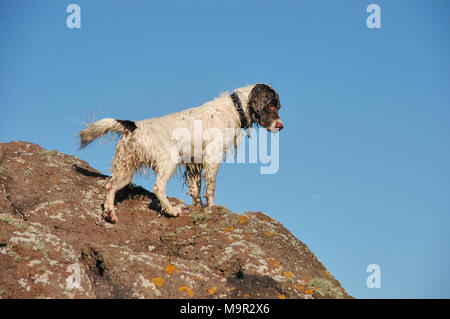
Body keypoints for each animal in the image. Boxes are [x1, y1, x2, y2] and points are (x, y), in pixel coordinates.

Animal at [79, 84, 284, 224]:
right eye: (272, 105)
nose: (281, 126)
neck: (234, 108)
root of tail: (133, 125)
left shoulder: (193, 162)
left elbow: (196, 191)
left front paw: (198, 207)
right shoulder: (213, 156)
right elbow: (211, 187)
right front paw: (212, 207)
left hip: (126, 167)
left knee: (111, 186)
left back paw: (110, 213)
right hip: (169, 161)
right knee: (158, 187)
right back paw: (171, 210)